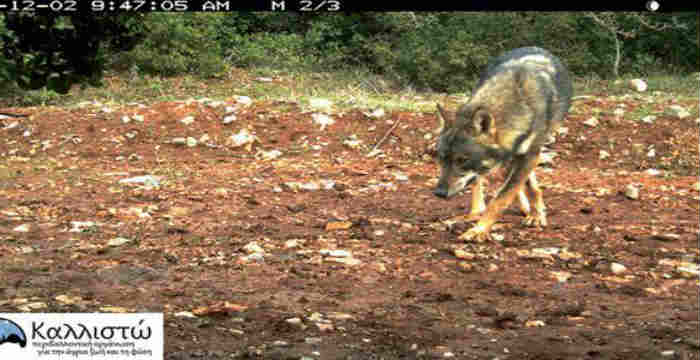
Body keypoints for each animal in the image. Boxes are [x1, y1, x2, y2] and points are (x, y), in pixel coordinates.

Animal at [432, 45, 576, 242]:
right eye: (441, 157)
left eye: (462, 160)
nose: (439, 193)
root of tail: (534, 46)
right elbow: (514, 188)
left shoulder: (530, 154)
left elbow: (504, 196)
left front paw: (480, 230)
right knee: (482, 184)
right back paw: (478, 212)